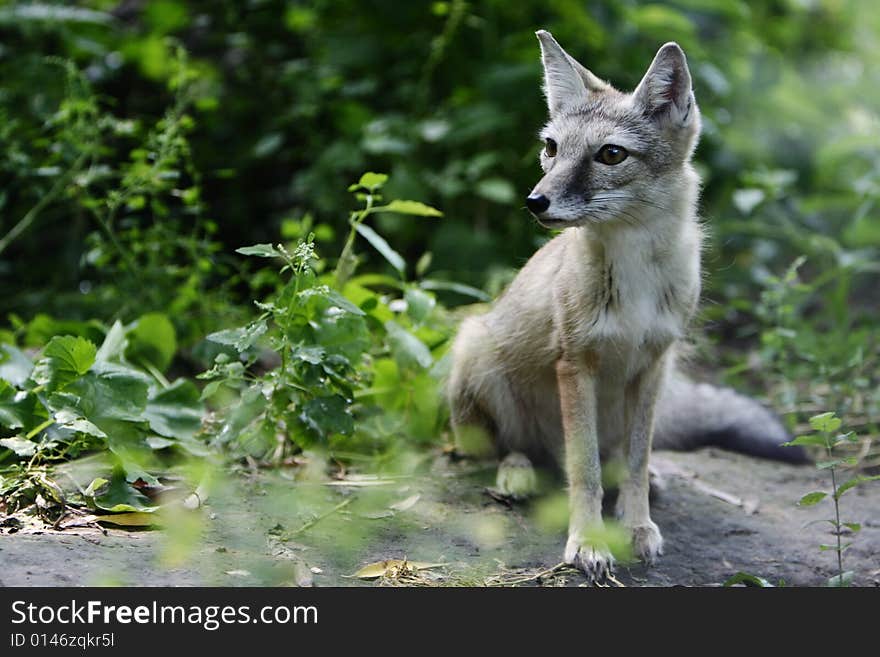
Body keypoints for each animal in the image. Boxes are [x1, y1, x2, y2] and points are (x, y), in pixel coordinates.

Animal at [446, 33, 804, 580]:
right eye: (552, 148)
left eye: (611, 155)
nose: (535, 202)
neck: (634, 280)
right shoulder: (575, 365)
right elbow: (585, 470)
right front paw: (589, 541)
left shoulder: (653, 364)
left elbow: (633, 461)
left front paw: (636, 525)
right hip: (478, 354)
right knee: (518, 449)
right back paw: (517, 473)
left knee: (617, 455)